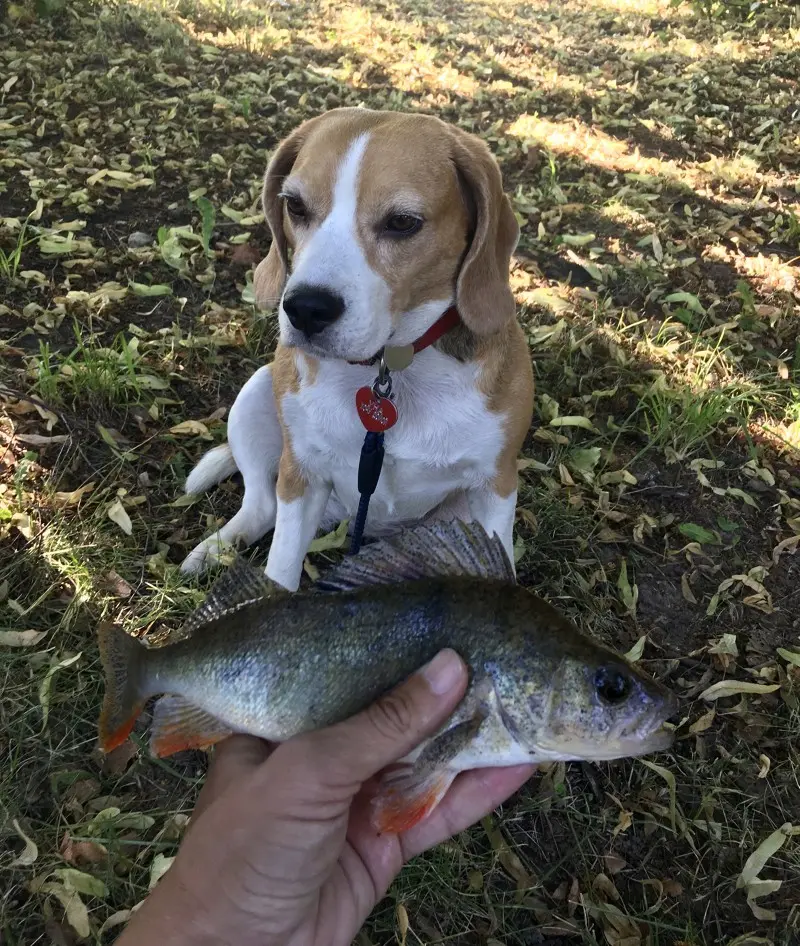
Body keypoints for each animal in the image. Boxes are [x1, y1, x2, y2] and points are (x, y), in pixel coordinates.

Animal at [180, 110, 532, 592]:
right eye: (295, 206)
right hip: (257, 396)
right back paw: (215, 550)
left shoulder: (494, 487)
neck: (390, 369)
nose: (305, 309)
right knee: (262, 505)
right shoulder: (303, 476)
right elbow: (281, 569)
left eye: (402, 222)